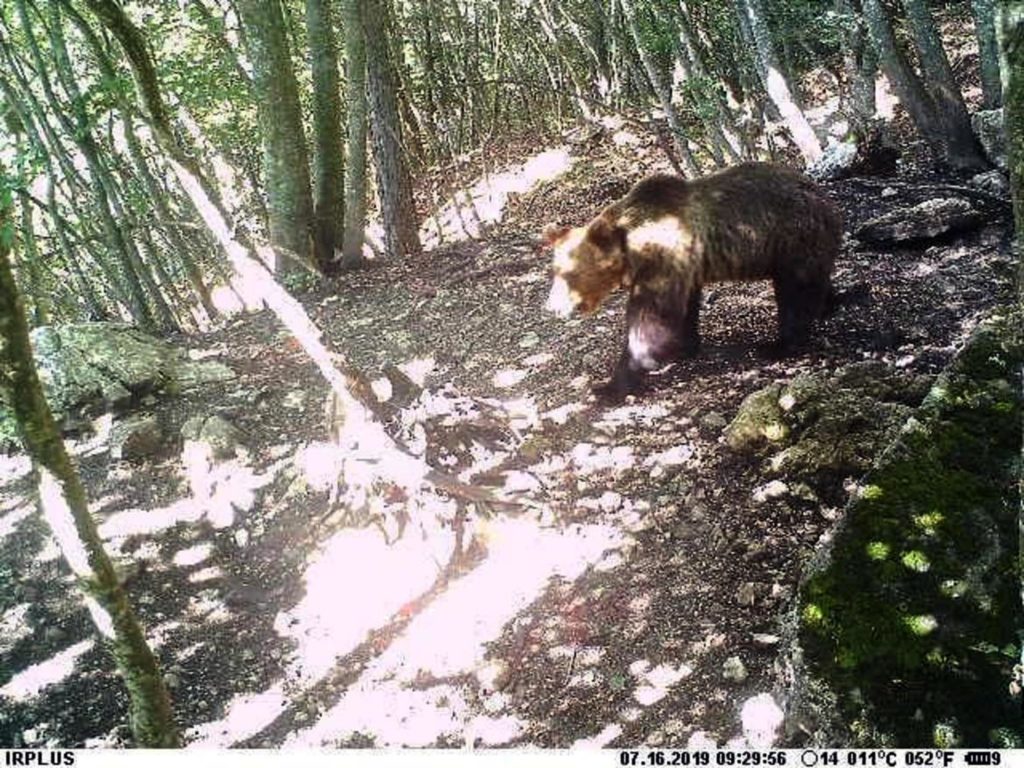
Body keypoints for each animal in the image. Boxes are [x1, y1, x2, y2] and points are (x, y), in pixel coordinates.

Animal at [544, 160, 839, 397]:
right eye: (555, 270)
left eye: (569, 273)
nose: (552, 307)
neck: (632, 249)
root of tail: (823, 196)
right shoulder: (685, 267)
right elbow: (684, 307)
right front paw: (684, 346)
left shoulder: (662, 258)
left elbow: (650, 317)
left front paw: (613, 383)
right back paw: (830, 305)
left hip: (790, 238)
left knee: (796, 293)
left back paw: (779, 344)